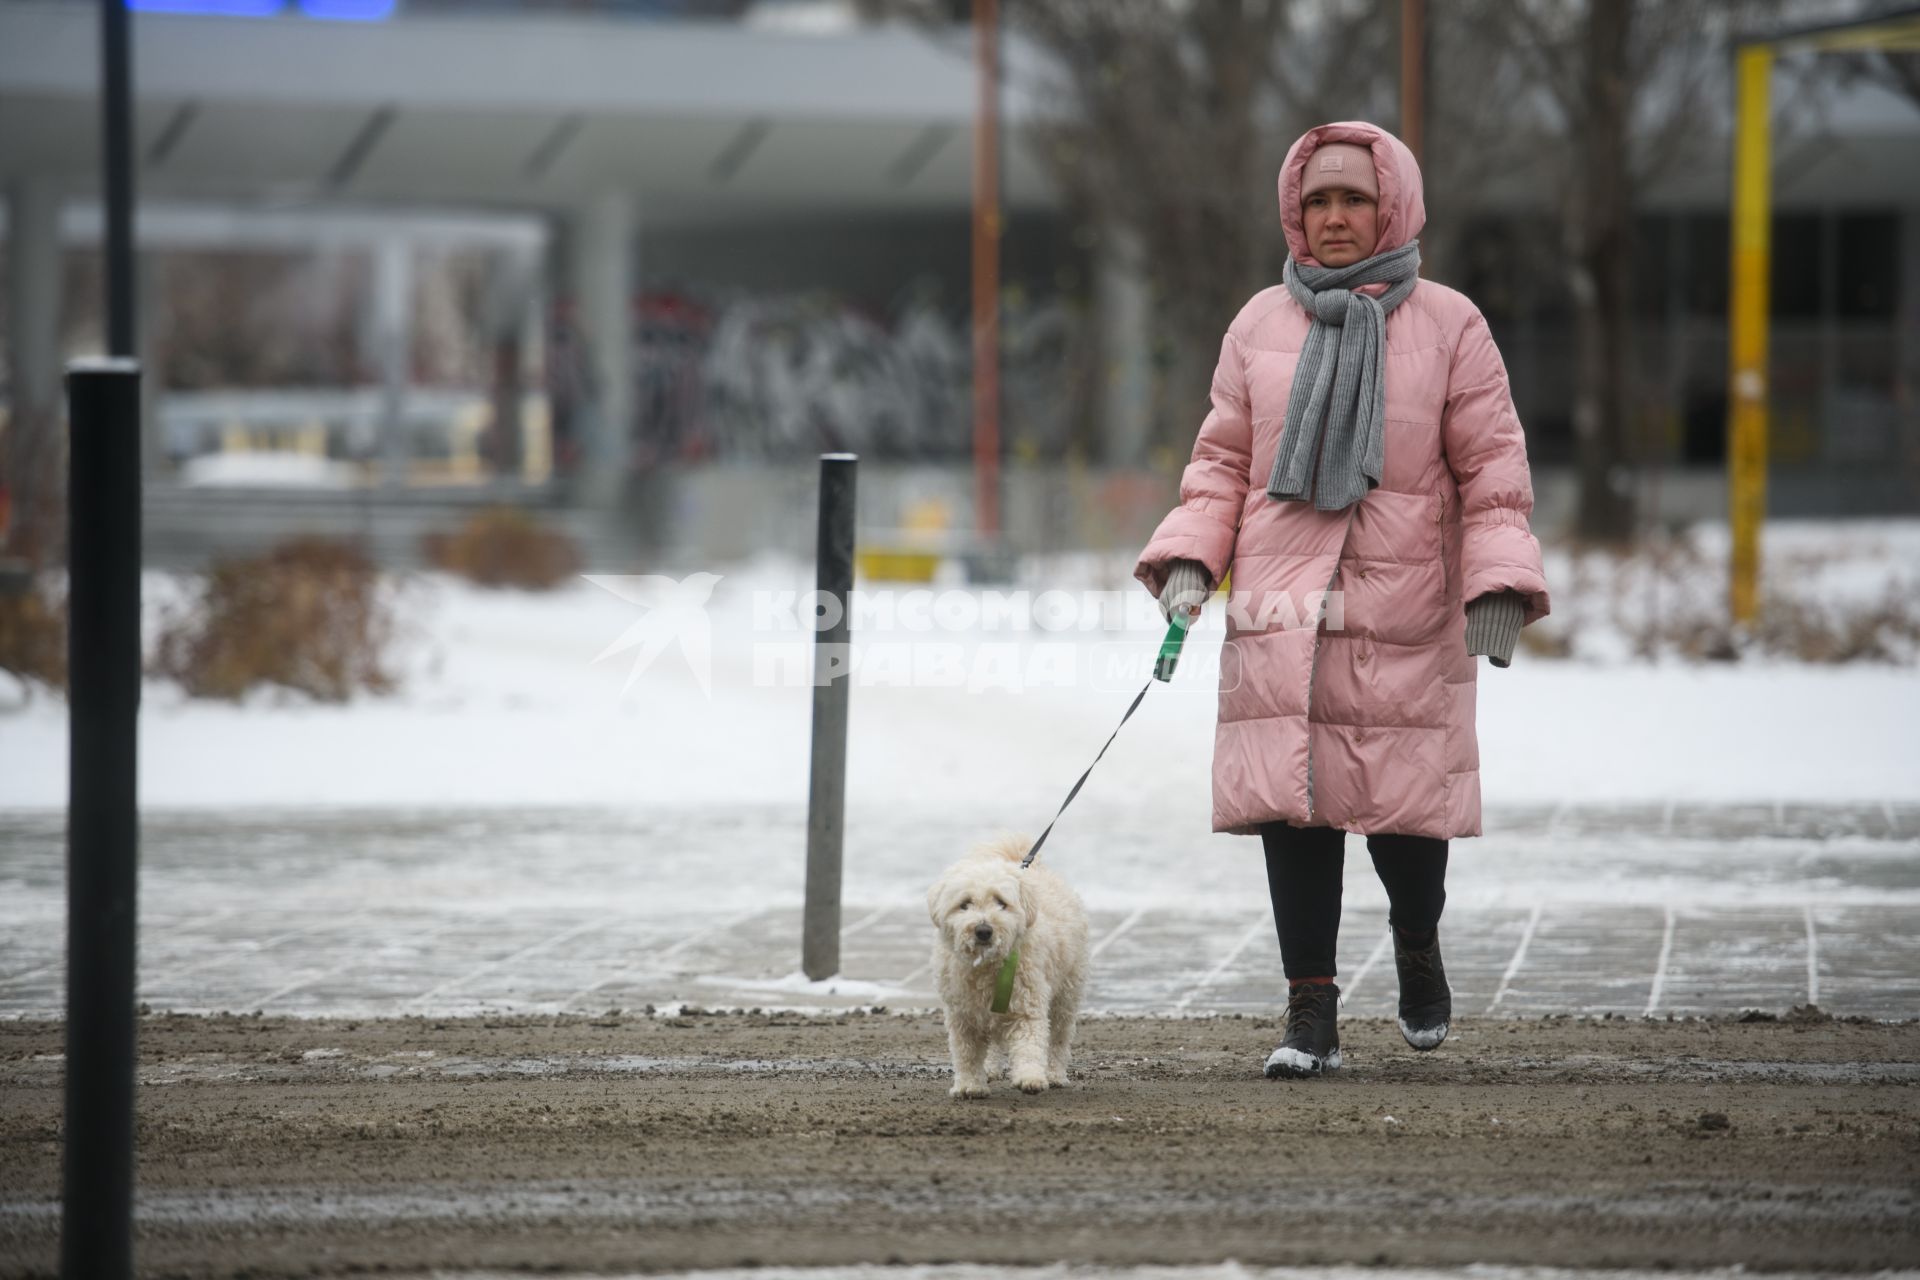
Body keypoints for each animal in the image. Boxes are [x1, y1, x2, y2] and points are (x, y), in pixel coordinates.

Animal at [933, 836, 1098, 1097]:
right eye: (964, 904)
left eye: (1001, 902)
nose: (983, 930)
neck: (987, 964)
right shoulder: (963, 1016)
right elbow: (967, 1054)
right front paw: (970, 1085)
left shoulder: (1027, 1003)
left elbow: (1029, 1043)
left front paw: (1030, 1078)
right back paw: (990, 1069)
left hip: (1067, 993)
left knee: (1059, 1037)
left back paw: (1054, 1074)